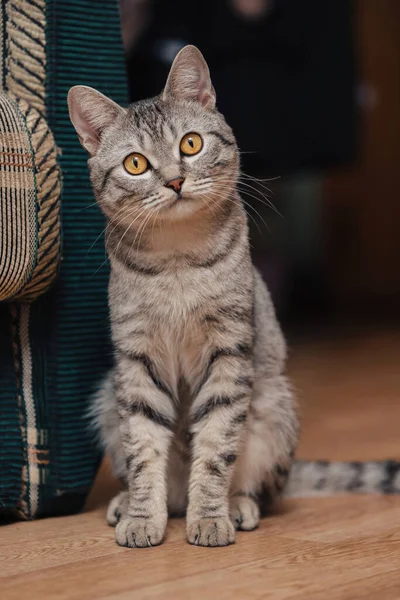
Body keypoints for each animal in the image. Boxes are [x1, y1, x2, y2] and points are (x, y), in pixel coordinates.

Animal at [67, 44, 398, 548]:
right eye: (136, 164)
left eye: (190, 144)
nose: (174, 182)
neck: (177, 261)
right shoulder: (136, 361)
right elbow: (143, 448)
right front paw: (143, 516)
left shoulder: (228, 351)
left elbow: (216, 445)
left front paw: (209, 515)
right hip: (108, 397)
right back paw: (132, 503)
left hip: (276, 406)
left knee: (263, 489)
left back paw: (237, 504)